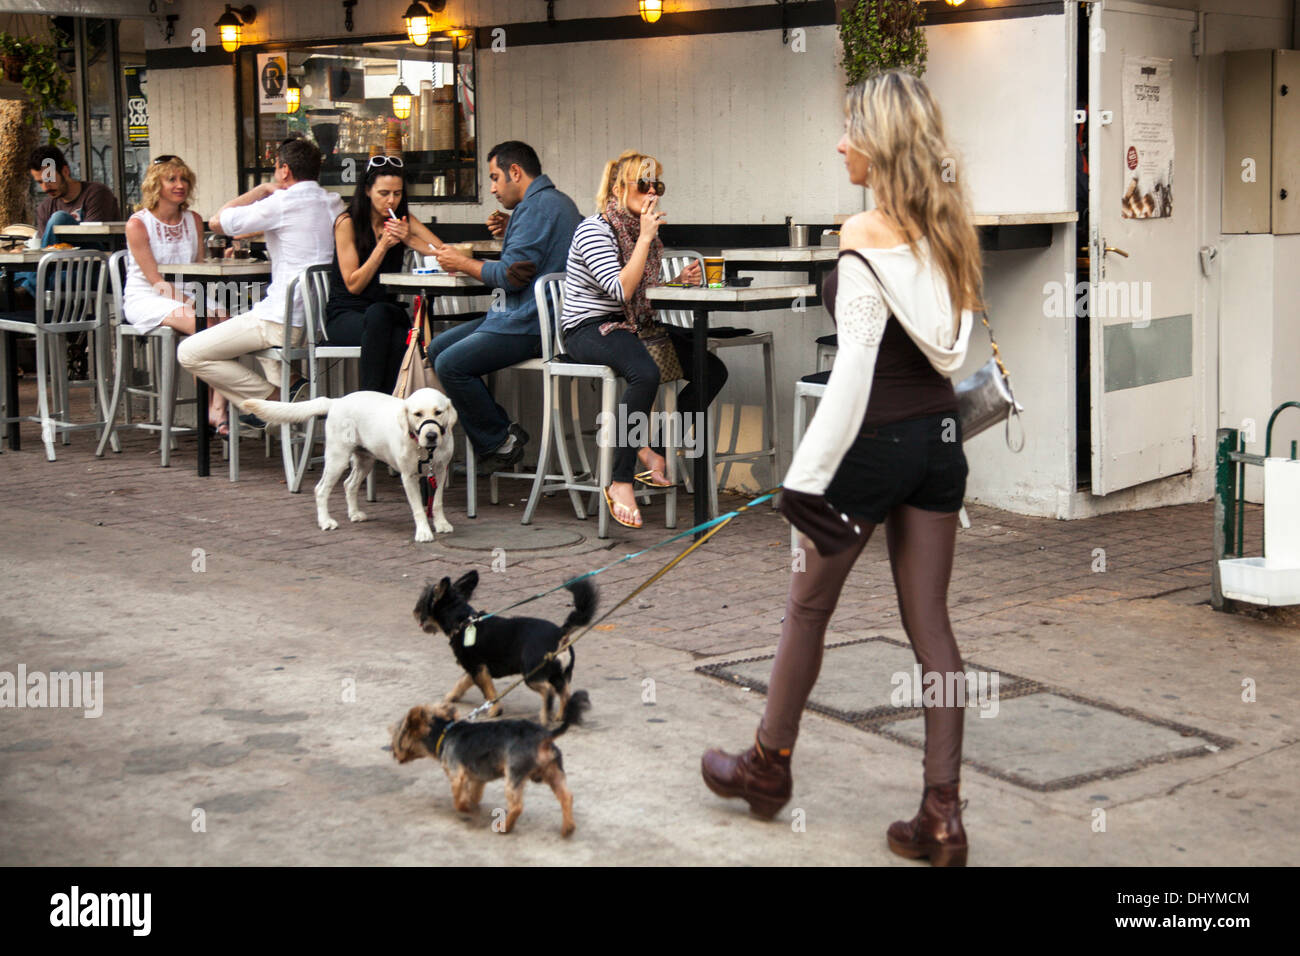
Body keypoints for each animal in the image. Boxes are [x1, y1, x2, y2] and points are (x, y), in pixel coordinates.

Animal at [244, 385, 457, 541]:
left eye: (438, 412)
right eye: (417, 414)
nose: (431, 435)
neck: (426, 450)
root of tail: (336, 400)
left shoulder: (440, 472)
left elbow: (436, 503)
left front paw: (441, 524)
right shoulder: (408, 476)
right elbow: (418, 508)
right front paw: (423, 532)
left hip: (365, 460)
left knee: (349, 485)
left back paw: (354, 513)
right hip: (337, 458)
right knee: (321, 489)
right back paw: (325, 521)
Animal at [384, 686, 590, 837]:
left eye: (398, 734)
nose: (392, 750)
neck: (445, 732)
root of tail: (544, 736)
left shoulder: (457, 775)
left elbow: (458, 798)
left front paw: (465, 808)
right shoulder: (477, 778)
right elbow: (474, 793)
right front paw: (472, 804)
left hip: (514, 774)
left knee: (516, 806)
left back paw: (505, 827)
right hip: (554, 771)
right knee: (566, 796)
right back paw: (568, 828)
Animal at [410, 572, 598, 723]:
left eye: (421, 603)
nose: (414, 612)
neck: (463, 622)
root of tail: (560, 633)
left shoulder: (478, 668)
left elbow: (489, 692)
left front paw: (494, 710)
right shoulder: (475, 669)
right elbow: (462, 683)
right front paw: (451, 697)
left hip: (532, 674)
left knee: (548, 691)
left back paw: (545, 716)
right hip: (560, 675)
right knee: (565, 694)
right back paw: (561, 716)